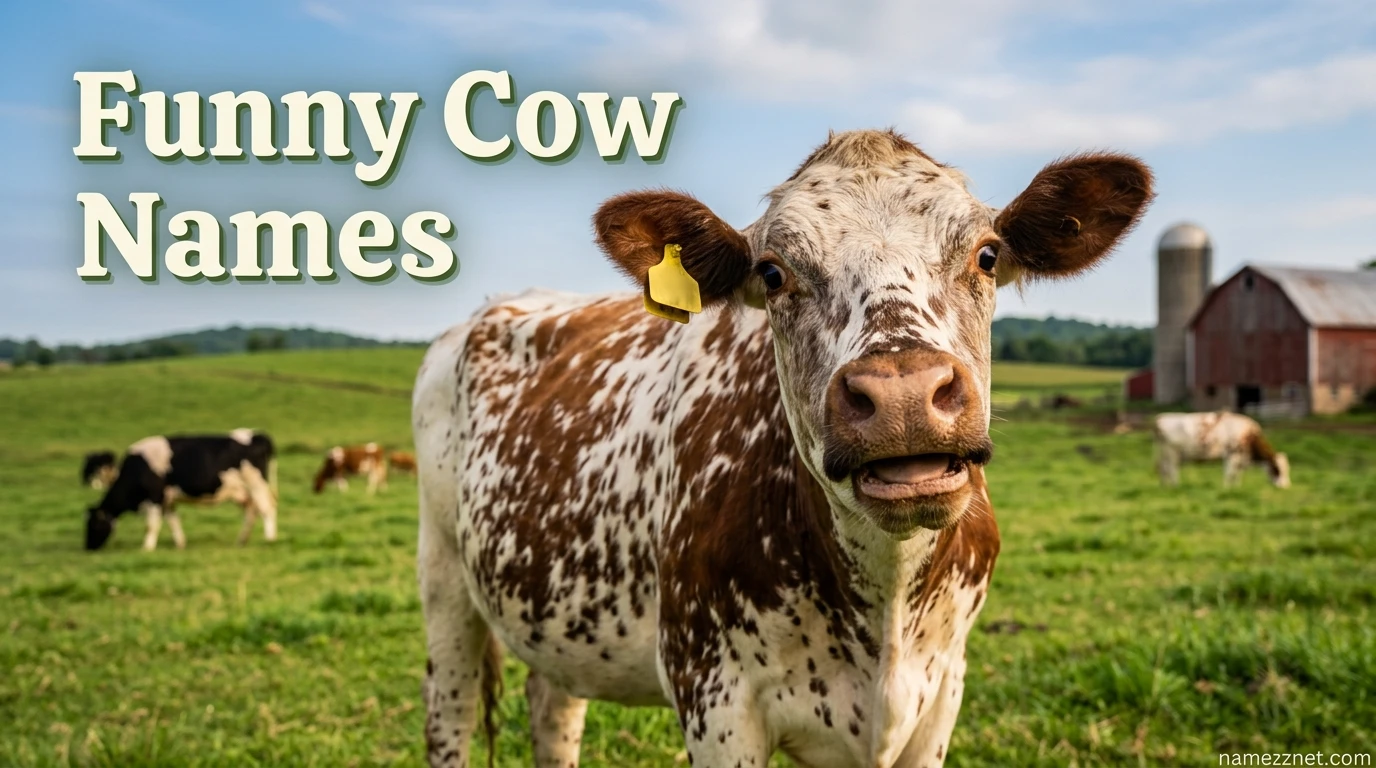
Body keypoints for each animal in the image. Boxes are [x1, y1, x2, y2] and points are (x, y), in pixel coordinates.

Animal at [86, 429, 277, 551]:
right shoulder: (167, 500)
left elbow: (151, 525)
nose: (88, 547)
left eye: (93, 524)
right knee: (251, 513)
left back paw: (269, 539)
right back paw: (241, 541)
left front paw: (146, 548)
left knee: (267, 510)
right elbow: (173, 521)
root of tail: (257, 435)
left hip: (256, 485)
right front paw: (180, 544)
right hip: (242, 492)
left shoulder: (155, 497)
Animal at [413, 129, 1153, 767]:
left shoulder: (941, 694)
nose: (904, 394)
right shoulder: (713, 696)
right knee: (450, 713)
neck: (884, 602)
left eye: (988, 254)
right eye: (772, 273)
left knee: (553, 706)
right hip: (444, 580)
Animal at [1154, 411, 1290, 488]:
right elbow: (1230, 473)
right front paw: (1227, 488)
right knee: (1171, 469)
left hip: (1165, 453)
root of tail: (1161, 417)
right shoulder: (1232, 454)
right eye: (1277, 469)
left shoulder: (1239, 457)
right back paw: (1175, 486)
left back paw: (1165, 486)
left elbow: (1237, 473)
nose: (1285, 486)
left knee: (1164, 470)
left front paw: (1236, 487)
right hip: (1171, 452)